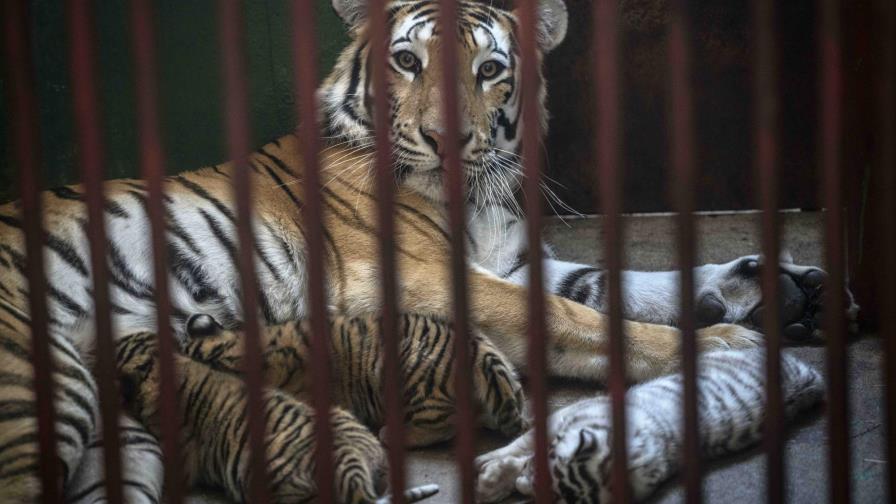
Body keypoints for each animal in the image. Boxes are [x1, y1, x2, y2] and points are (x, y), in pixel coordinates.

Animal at [473, 348, 825, 503]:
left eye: (561, 498)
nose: (525, 488)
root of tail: (810, 379)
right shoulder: (559, 419)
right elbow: (522, 444)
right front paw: (490, 466)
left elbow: (523, 452)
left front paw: (493, 479)